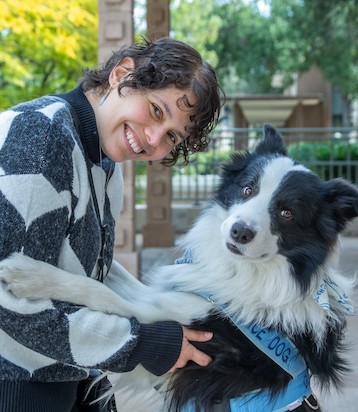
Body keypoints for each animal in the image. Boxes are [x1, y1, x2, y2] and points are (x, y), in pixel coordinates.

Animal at [0, 125, 358, 412]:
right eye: (248, 189)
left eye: (287, 213)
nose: (239, 232)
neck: (249, 270)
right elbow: (116, 274)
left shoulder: (183, 329)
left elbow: (98, 289)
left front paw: (28, 274)